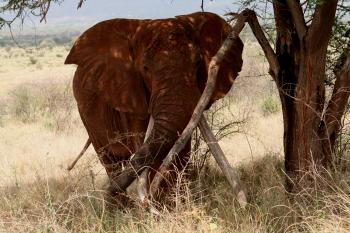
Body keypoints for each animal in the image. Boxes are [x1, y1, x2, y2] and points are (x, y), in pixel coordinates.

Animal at [64, 11, 242, 199]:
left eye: (198, 62)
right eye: (145, 68)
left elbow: (178, 147)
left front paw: (173, 201)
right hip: (85, 115)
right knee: (109, 160)